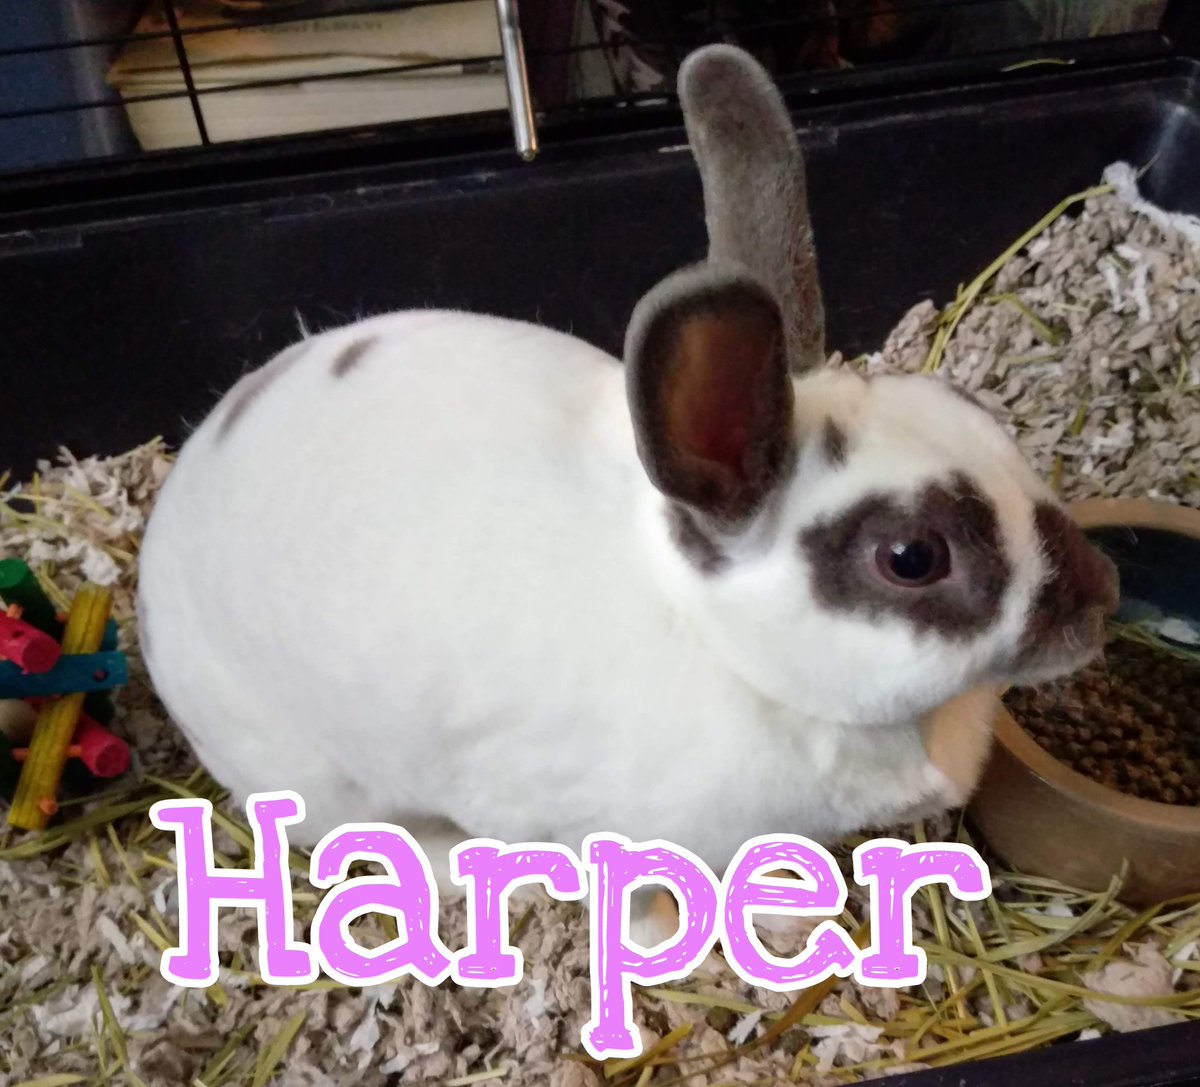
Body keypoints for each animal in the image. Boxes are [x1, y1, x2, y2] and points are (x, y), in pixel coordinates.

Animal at [137, 44, 1117, 939]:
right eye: (911, 556)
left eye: (978, 414)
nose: (1100, 597)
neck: (725, 642)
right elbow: (647, 891)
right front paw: (699, 937)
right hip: (321, 778)